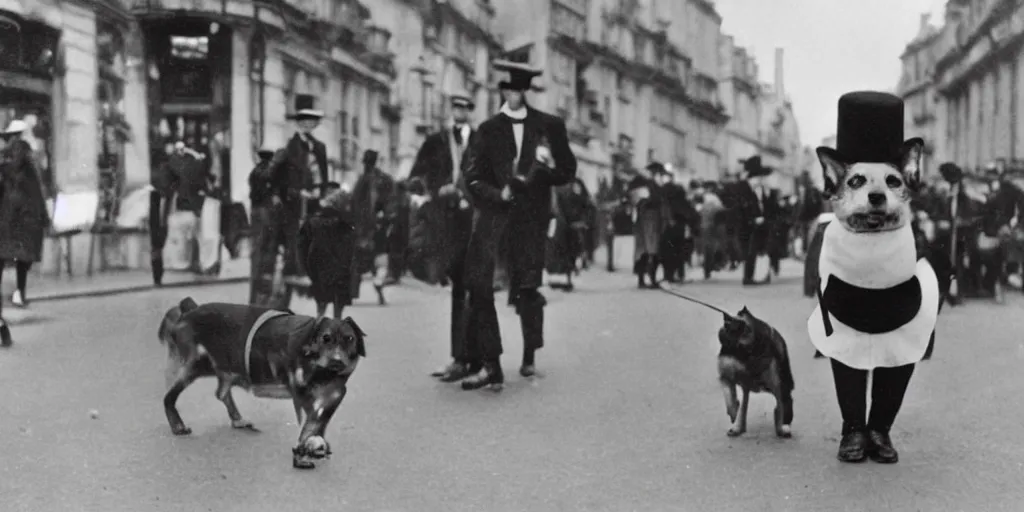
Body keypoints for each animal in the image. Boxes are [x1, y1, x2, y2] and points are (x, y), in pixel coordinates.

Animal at [157, 299, 366, 468]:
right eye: (325, 338)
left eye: (350, 338)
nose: (337, 361)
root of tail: (189, 310)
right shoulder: (300, 391)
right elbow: (312, 420)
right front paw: (305, 448)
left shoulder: (336, 393)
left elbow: (321, 419)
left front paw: (314, 443)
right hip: (196, 363)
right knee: (169, 395)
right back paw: (178, 426)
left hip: (226, 368)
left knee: (221, 392)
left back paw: (238, 420)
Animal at [716, 305, 794, 438]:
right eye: (723, 334)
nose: (724, 328)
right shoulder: (727, 377)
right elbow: (730, 397)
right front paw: (733, 413)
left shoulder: (777, 384)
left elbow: (780, 406)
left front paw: (781, 427)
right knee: (743, 404)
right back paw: (738, 427)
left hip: (781, 383)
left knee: (784, 402)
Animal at [806, 91, 942, 464]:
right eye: (855, 181)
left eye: (893, 181)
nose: (877, 196)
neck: (871, 239)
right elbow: (849, 387)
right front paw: (853, 440)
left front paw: (878, 440)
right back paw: (856, 437)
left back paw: (877, 437)